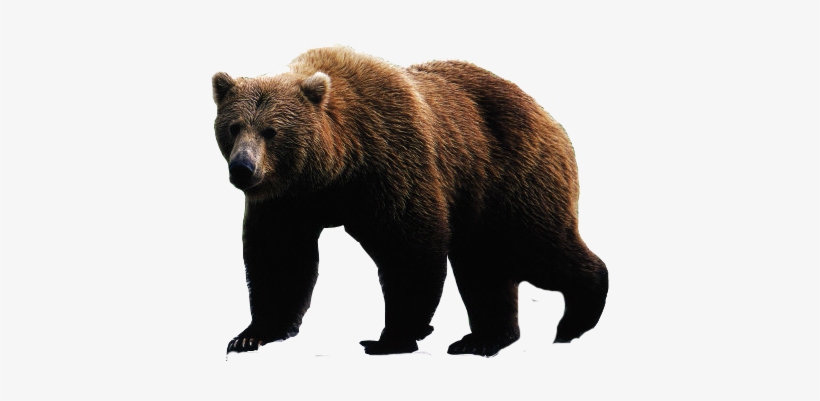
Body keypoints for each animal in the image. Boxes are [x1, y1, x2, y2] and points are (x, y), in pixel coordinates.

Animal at [212, 47, 608, 357]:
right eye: (234, 126)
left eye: (271, 131)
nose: (243, 168)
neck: (334, 171)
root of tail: (547, 114)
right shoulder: (288, 200)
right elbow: (279, 258)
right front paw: (250, 335)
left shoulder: (391, 161)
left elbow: (409, 246)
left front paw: (391, 337)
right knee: (484, 265)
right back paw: (482, 338)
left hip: (510, 177)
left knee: (535, 247)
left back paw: (576, 318)